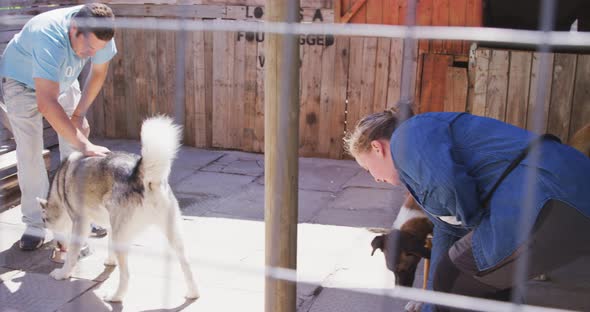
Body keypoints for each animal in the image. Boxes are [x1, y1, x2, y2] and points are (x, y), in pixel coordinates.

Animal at [40, 116, 201, 302]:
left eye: (45, 222)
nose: (57, 244)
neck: (60, 184)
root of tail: (139, 175)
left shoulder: (80, 224)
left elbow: (72, 255)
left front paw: (63, 273)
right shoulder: (110, 224)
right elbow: (108, 243)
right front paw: (110, 261)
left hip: (122, 239)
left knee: (126, 276)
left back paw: (115, 296)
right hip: (173, 234)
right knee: (186, 263)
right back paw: (193, 293)